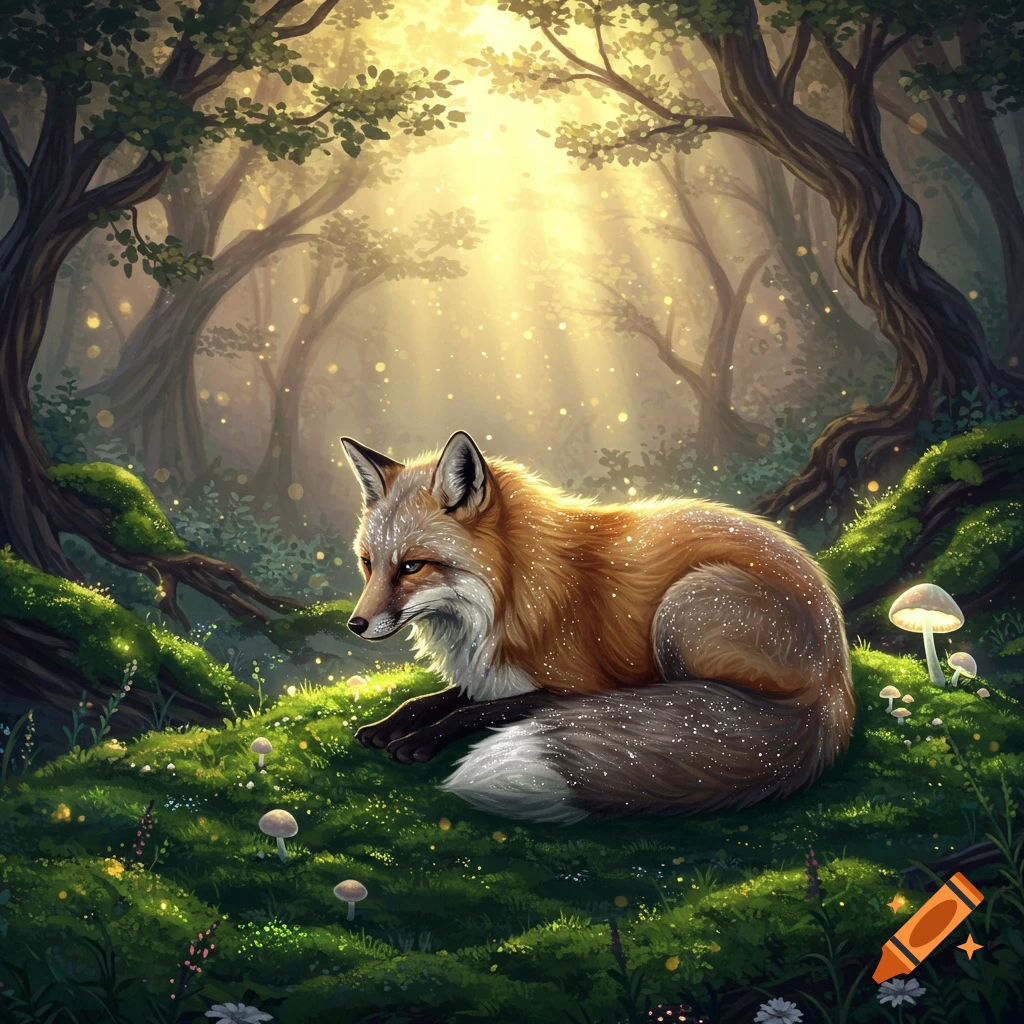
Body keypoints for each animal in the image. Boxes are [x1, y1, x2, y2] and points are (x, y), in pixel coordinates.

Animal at [340, 430, 855, 824]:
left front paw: (417, 741)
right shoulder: (492, 672)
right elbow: (432, 700)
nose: (356, 624)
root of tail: (832, 689)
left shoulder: (575, 686)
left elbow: (475, 712)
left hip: (682, 607)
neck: (512, 591)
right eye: (368, 563)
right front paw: (388, 726)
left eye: (412, 567)